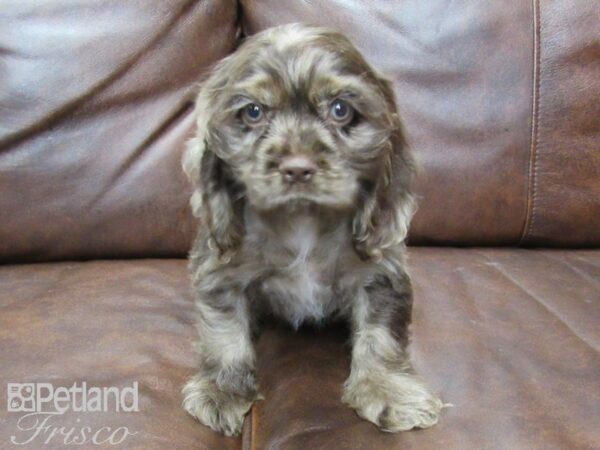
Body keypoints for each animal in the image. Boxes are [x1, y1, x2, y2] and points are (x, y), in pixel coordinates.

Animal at [180, 22, 442, 434]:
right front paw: (222, 390)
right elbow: (224, 332)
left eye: (340, 109)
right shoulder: (221, 270)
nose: (297, 168)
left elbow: (381, 334)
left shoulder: (380, 274)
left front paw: (387, 390)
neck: (303, 221)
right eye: (253, 111)